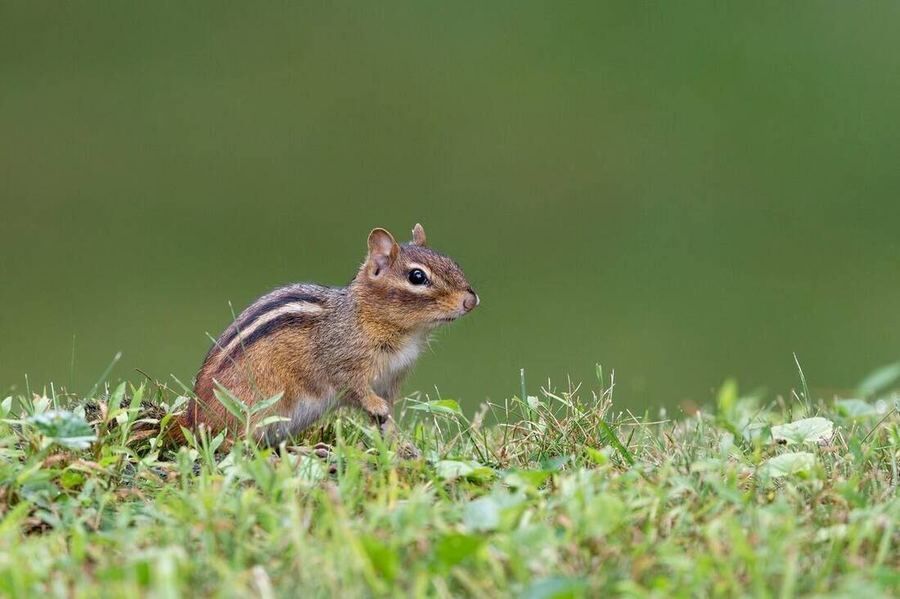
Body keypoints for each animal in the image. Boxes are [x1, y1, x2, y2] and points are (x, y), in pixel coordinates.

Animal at [176, 224, 478, 444]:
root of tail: (192, 418)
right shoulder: (342, 362)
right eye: (417, 277)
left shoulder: (391, 380)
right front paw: (376, 408)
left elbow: (387, 415)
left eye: (452, 263)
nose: (471, 301)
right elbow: (354, 388)